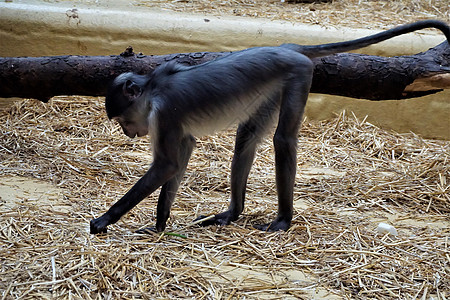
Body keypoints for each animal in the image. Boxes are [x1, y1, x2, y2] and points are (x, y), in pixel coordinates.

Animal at [89, 19, 448, 234]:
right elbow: (183, 155)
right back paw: (232, 213)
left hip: (298, 75)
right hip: (273, 87)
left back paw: (283, 219)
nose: (127, 132)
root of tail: (287, 49)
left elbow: (167, 164)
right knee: (246, 137)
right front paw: (160, 224)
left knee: (283, 139)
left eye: (123, 120)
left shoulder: (163, 113)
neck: (153, 86)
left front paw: (104, 220)